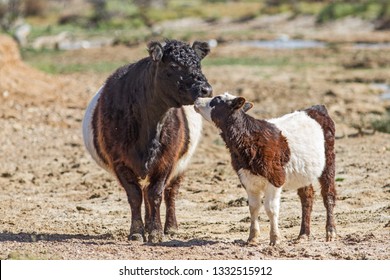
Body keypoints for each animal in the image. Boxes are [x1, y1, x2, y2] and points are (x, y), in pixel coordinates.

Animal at [80, 39, 212, 243]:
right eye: (173, 66)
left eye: (198, 64)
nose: (206, 89)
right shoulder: (119, 161)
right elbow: (134, 196)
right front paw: (137, 232)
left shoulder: (167, 160)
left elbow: (156, 194)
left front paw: (156, 232)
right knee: (145, 192)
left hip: (182, 164)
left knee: (170, 192)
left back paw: (170, 227)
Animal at [195, 93, 336, 245]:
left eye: (216, 100)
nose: (197, 99)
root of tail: (316, 108)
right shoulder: (246, 178)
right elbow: (254, 207)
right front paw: (252, 237)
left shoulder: (275, 178)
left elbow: (271, 208)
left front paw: (275, 238)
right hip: (303, 172)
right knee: (307, 197)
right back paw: (303, 234)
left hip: (329, 162)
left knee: (328, 195)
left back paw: (330, 232)